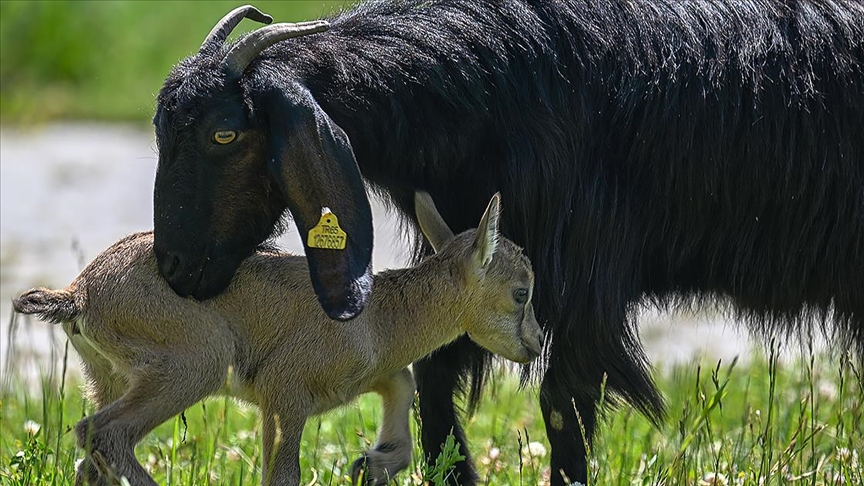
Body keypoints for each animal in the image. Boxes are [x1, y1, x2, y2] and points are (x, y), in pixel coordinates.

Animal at [11, 193, 540, 486]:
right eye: (522, 292)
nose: (535, 344)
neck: (379, 320)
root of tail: (78, 295)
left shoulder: (340, 383)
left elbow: (402, 380)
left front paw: (374, 463)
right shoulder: (285, 390)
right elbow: (283, 475)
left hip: (109, 374)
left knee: (89, 458)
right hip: (193, 364)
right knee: (103, 433)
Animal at [150, 1, 864, 484]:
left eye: (223, 134)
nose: (173, 267)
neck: (491, 86)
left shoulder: (580, 281)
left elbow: (562, 404)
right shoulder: (471, 255)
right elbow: (433, 369)